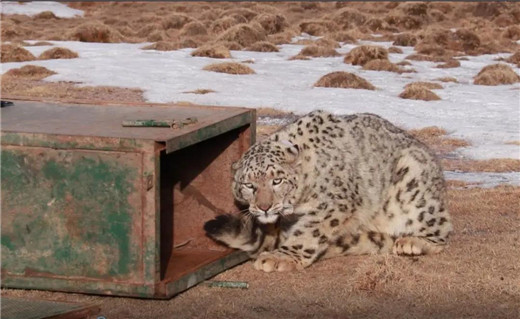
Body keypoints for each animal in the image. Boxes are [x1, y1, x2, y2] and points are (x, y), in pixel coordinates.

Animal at [203, 110, 450, 272]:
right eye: (249, 185)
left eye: (277, 180)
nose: (265, 207)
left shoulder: (334, 204)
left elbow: (308, 232)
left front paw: (280, 257)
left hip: (413, 186)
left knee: (443, 229)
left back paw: (413, 242)